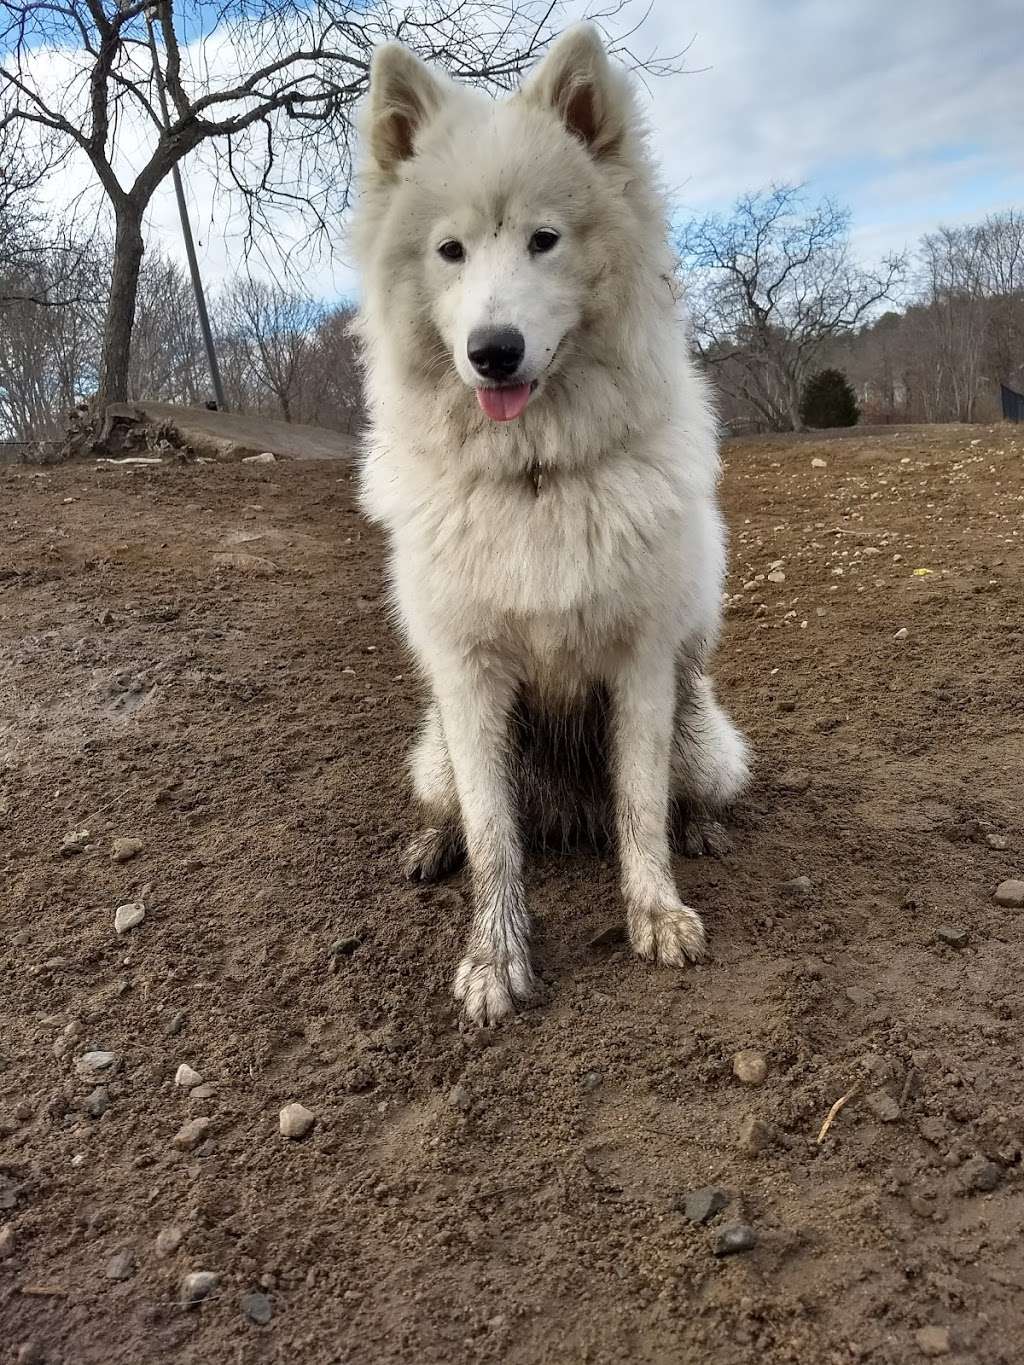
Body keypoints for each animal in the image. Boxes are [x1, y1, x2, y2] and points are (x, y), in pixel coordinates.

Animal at [357, 21, 748, 1026]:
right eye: (450, 250)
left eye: (544, 240)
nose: (493, 352)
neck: (534, 476)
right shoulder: (469, 681)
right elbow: (497, 837)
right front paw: (495, 957)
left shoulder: (641, 667)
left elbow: (640, 812)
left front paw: (655, 912)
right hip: (433, 752)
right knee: (460, 811)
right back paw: (431, 845)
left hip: (706, 738)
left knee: (676, 798)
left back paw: (705, 829)